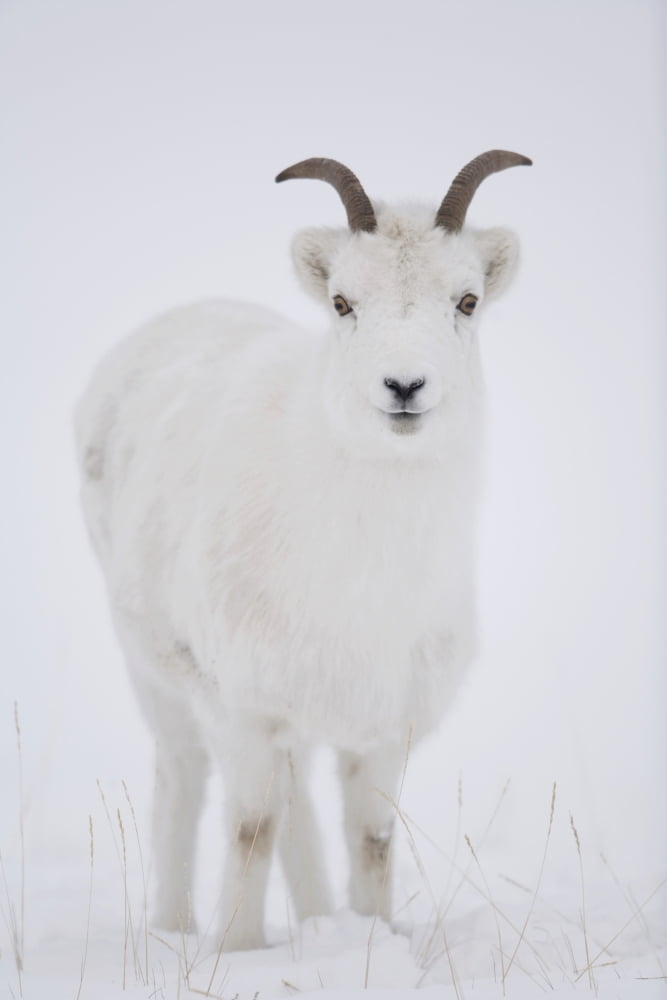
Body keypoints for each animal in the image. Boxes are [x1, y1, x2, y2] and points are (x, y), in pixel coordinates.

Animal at [75, 151, 531, 951]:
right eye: (343, 302)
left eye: (467, 300)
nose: (403, 386)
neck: (362, 577)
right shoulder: (241, 713)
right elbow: (251, 830)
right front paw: (237, 951)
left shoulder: (377, 730)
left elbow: (370, 842)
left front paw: (371, 937)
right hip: (158, 679)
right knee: (183, 782)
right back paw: (173, 930)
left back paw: (321, 923)